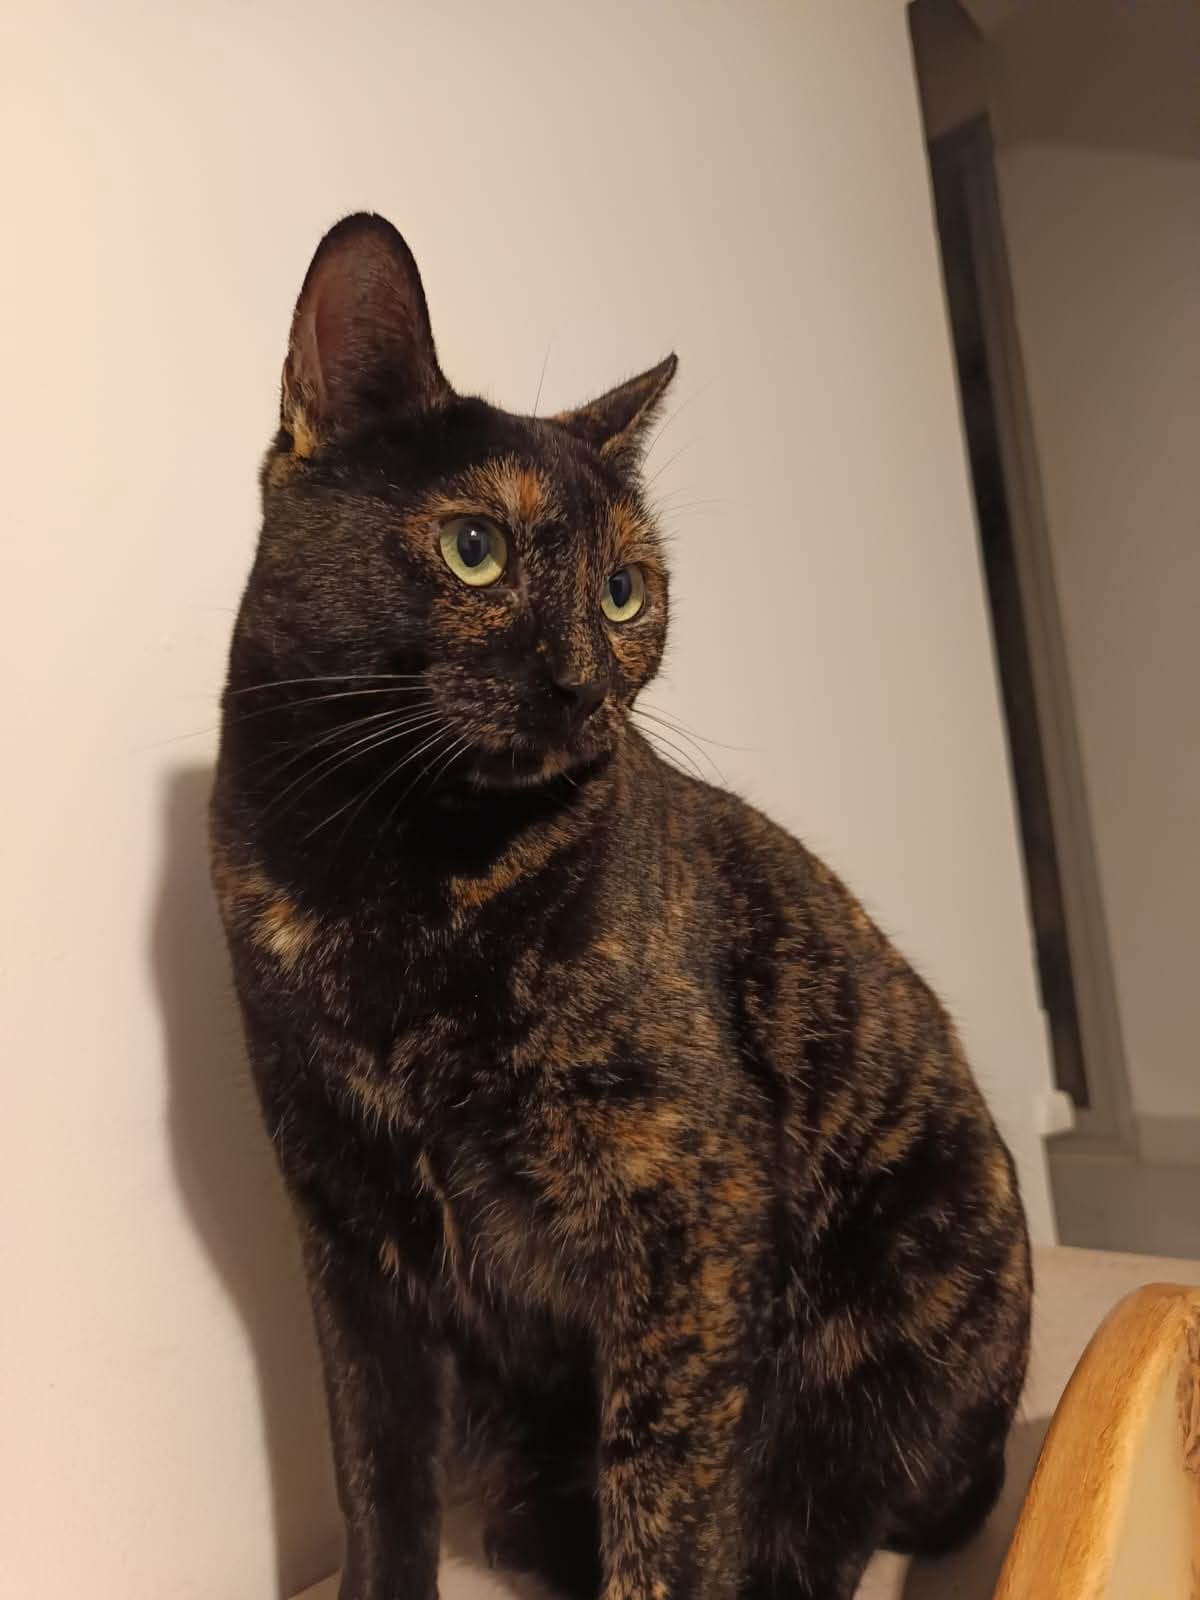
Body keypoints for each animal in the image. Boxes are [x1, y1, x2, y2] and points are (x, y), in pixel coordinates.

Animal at [210, 213, 1031, 1600]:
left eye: (624, 592)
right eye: (474, 548)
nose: (584, 682)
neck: (380, 867)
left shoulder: (687, 1207)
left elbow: (665, 1494)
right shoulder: (345, 1224)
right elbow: (375, 1474)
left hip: (897, 1319)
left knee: (805, 1527)